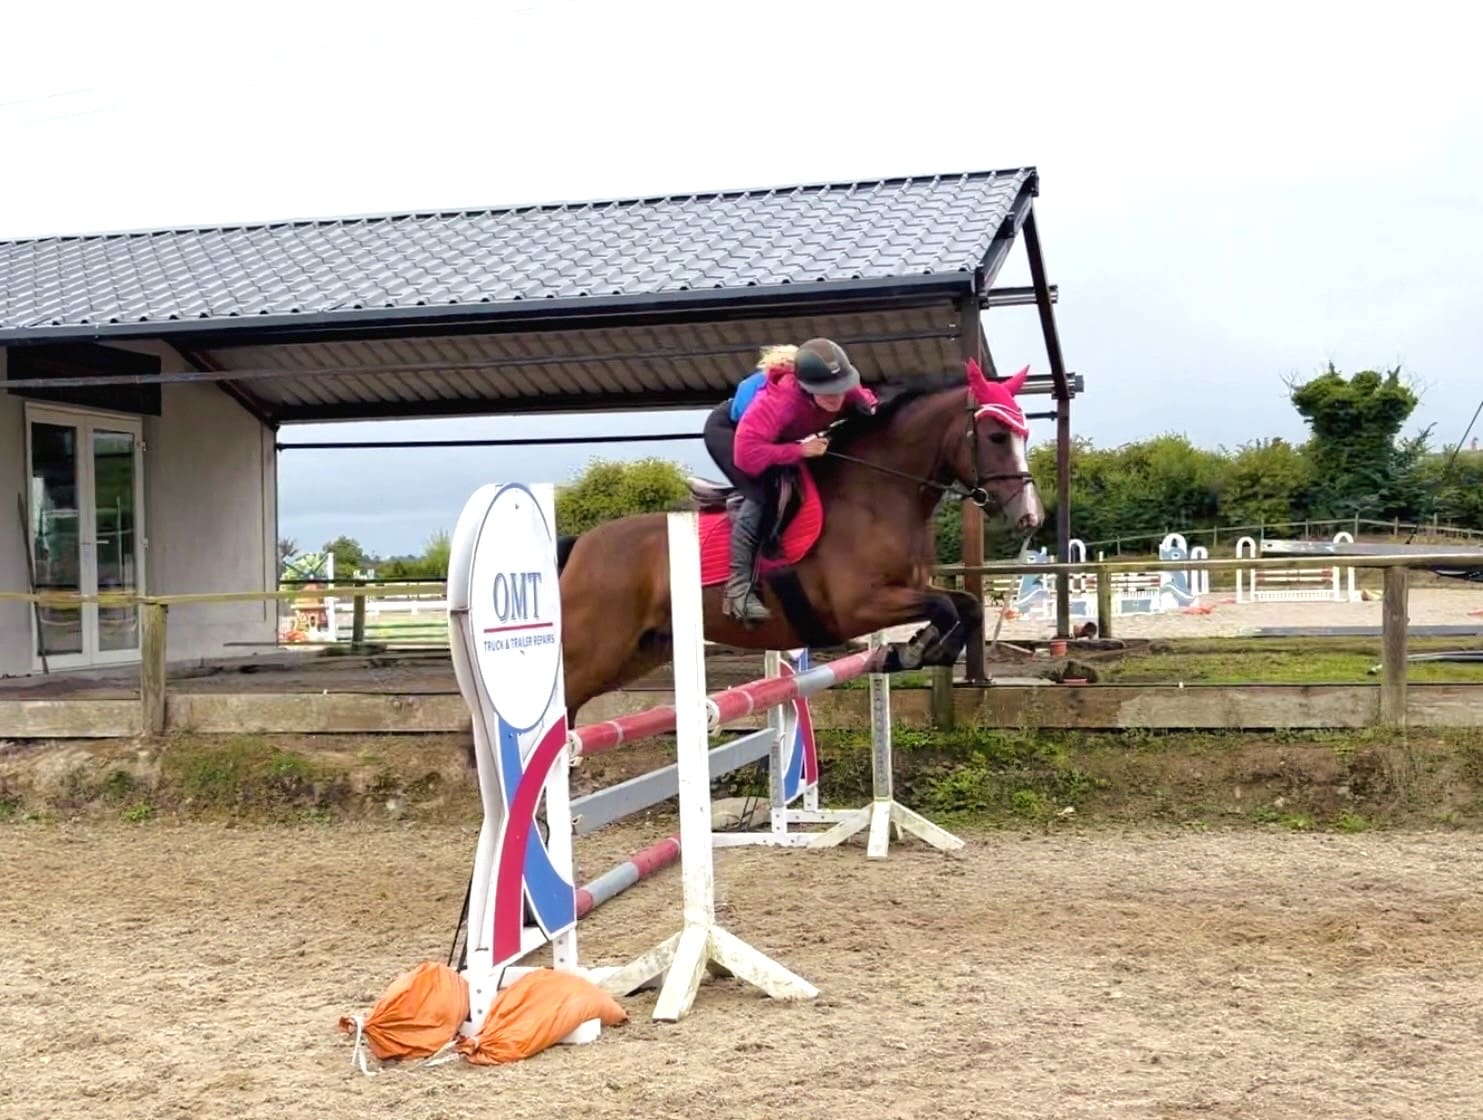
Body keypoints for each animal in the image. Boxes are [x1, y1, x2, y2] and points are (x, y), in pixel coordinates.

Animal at [555, 359, 1045, 723]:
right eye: (996, 435)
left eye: (1024, 433)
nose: (1029, 516)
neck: (876, 494)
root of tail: (582, 545)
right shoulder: (857, 607)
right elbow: (945, 607)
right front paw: (912, 651)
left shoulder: (911, 587)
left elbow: (968, 606)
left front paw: (917, 650)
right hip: (595, 649)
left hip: (640, 651)